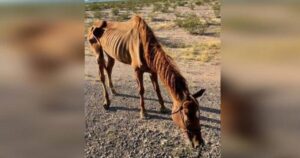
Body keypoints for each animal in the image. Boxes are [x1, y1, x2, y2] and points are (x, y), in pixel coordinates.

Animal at [87, 15, 206, 148]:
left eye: (199, 114)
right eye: (186, 118)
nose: (199, 143)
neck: (145, 47)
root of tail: (92, 25)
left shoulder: (153, 71)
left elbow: (157, 89)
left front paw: (163, 107)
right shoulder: (137, 71)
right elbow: (141, 90)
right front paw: (143, 113)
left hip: (111, 53)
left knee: (109, 69)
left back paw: (114, 91)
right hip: (98, 52)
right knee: (102, 75)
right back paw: (107, 102)